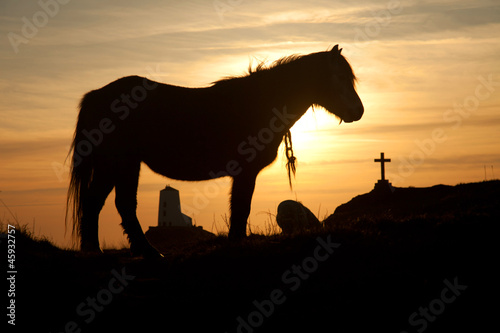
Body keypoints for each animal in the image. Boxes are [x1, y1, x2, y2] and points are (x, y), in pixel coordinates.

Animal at [66, 44, 364, 256]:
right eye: (339, 77)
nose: (358, 112)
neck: (261, 102)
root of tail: (96, 95)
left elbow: (239, 208)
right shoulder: (246, 172)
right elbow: (241, 207)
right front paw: (237, 243)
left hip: (120, 164)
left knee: (109, 203)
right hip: (118, 163)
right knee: (110, 203)